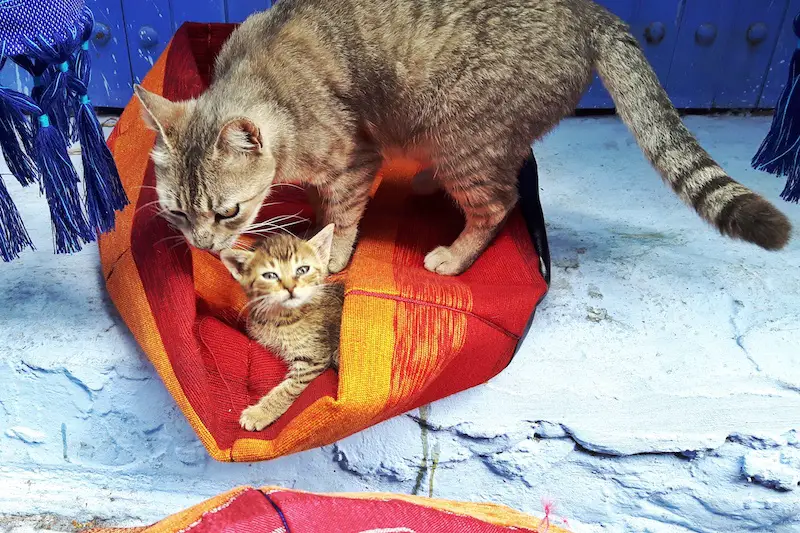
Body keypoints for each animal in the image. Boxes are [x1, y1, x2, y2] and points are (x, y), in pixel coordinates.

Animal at [134, 0, 792, 276]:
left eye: (227, 212)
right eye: (178, 213)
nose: (202, 247)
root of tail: (593, 13)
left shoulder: (355, 160)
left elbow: (342, 219)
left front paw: (332, 251)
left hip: (462, 139)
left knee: (498, 202)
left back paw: (453, 254)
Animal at [220, 222, 342, 430]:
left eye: (302, 270)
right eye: (270, 275)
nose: (290, 287)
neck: (281, 318)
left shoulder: (313, 357)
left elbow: (287, 389)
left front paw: (259, 413)